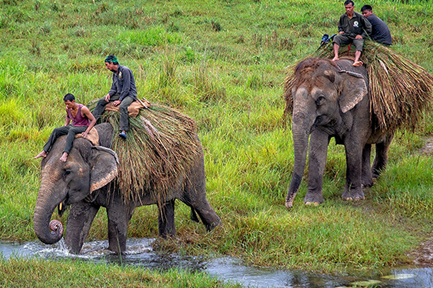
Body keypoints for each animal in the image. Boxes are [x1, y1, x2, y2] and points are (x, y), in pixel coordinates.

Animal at [34, 122, 221, 253]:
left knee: (198, 202)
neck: (94, 142)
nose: (55, 225)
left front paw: (117, 255)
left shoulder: (121, 180)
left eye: (67, 171)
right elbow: (77, 220)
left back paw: (217, 234)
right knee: (166, 206)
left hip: (193, 164)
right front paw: (70, 254)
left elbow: (116, 221)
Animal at [286, 58, 394, 207]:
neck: (339, 71)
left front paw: (352, 198)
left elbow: (352, 145)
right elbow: (316, 148)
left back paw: (375, 176)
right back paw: (365, 184)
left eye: (320, 99)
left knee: (382, 142)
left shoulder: (362, 107)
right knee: (365, 146)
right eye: (292, 95)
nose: (289, 205)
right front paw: (312, 202)